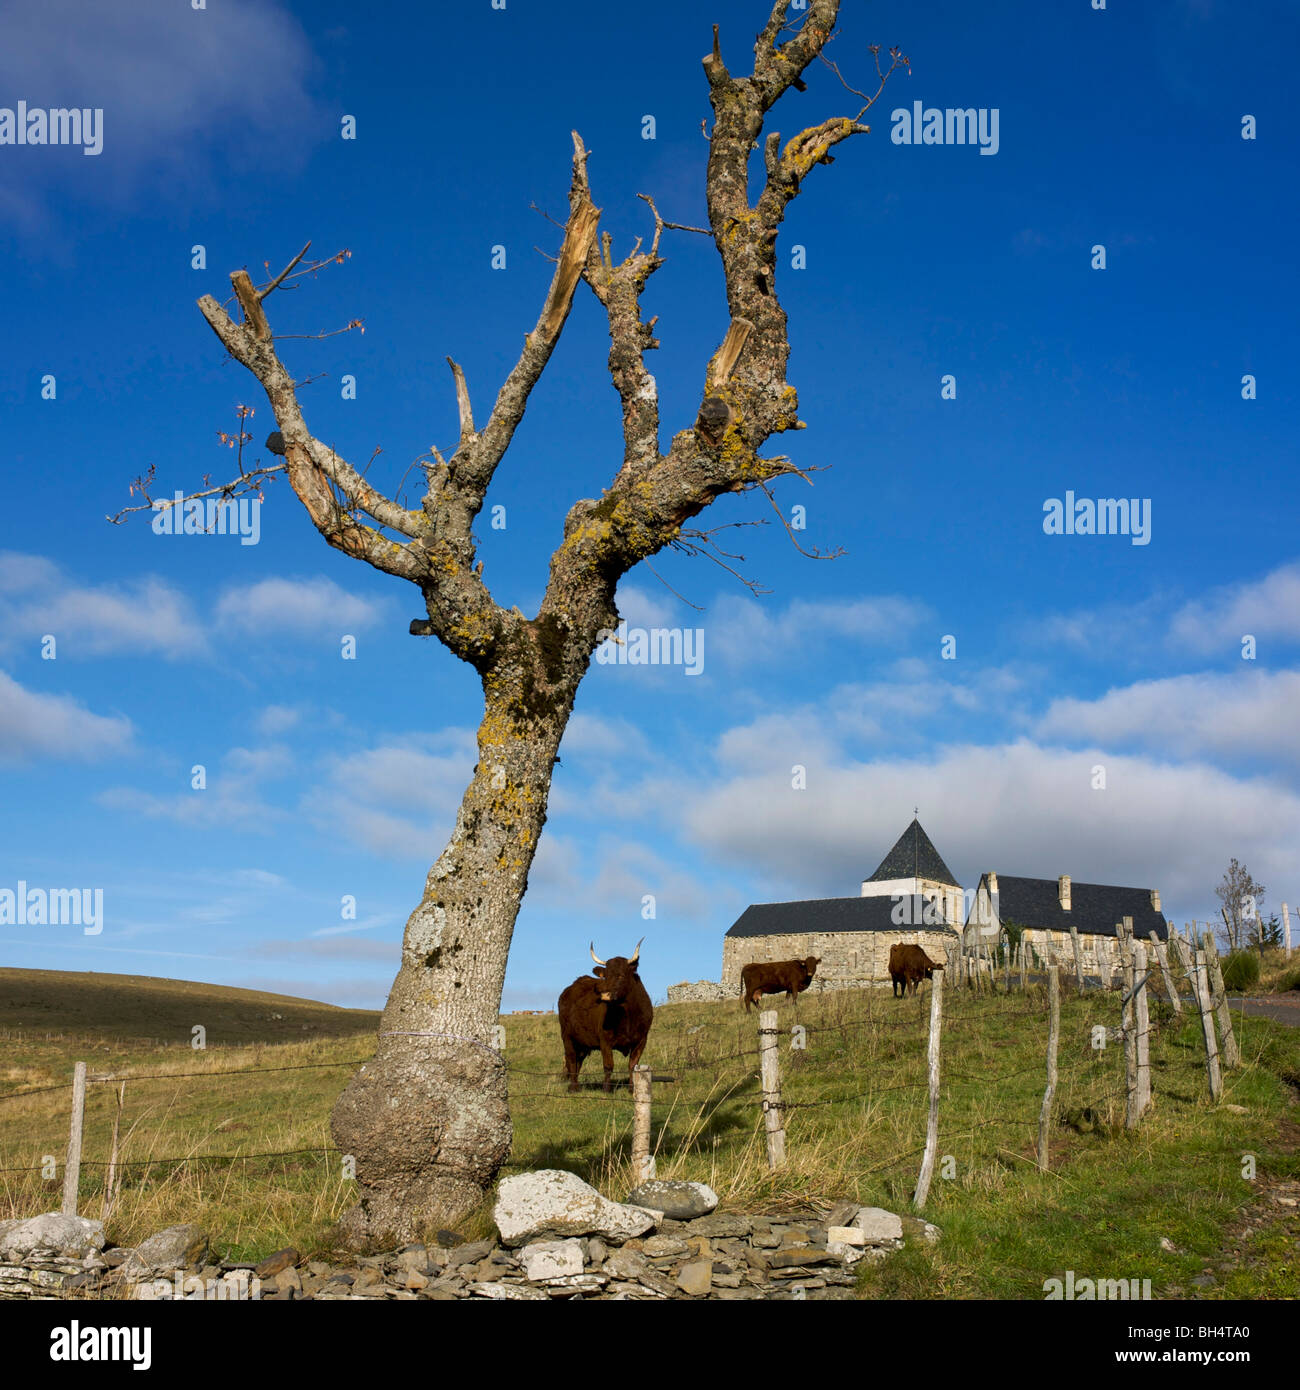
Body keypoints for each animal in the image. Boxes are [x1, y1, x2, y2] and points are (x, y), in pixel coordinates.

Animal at [561, 939, 661, 1089]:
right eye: (605, 976)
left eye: (620, 975)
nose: (603, 994)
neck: (628, 1016)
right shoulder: (605, 1040)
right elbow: (608, 1066)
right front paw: (606, 1089)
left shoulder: (641, 1040)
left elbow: (633, 1065)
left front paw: (632, 1088)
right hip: (567, 1037)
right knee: (572, 1060)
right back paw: (573, 1088)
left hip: (582, 1042)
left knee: (578, 1061)